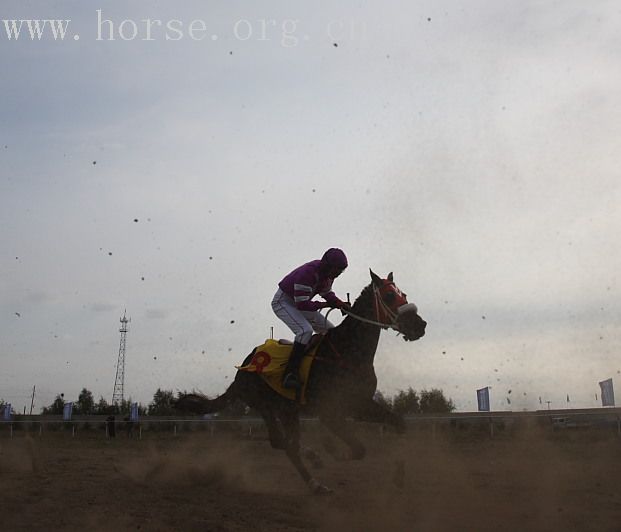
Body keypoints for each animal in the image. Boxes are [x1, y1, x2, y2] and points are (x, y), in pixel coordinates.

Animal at [176, 270, 426, 494]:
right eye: (389, 296)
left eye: (403, 294)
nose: (419, 325)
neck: (347, 352)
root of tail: (242, 370)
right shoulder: (329, 412)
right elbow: (358, 449)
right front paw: (331, 449)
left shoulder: (359, 404)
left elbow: (398, 423)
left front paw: (399, 475)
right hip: (267, 407)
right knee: (282, 442)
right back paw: (314, 474)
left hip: (288, 409)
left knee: (287, 443)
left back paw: (313, 466)